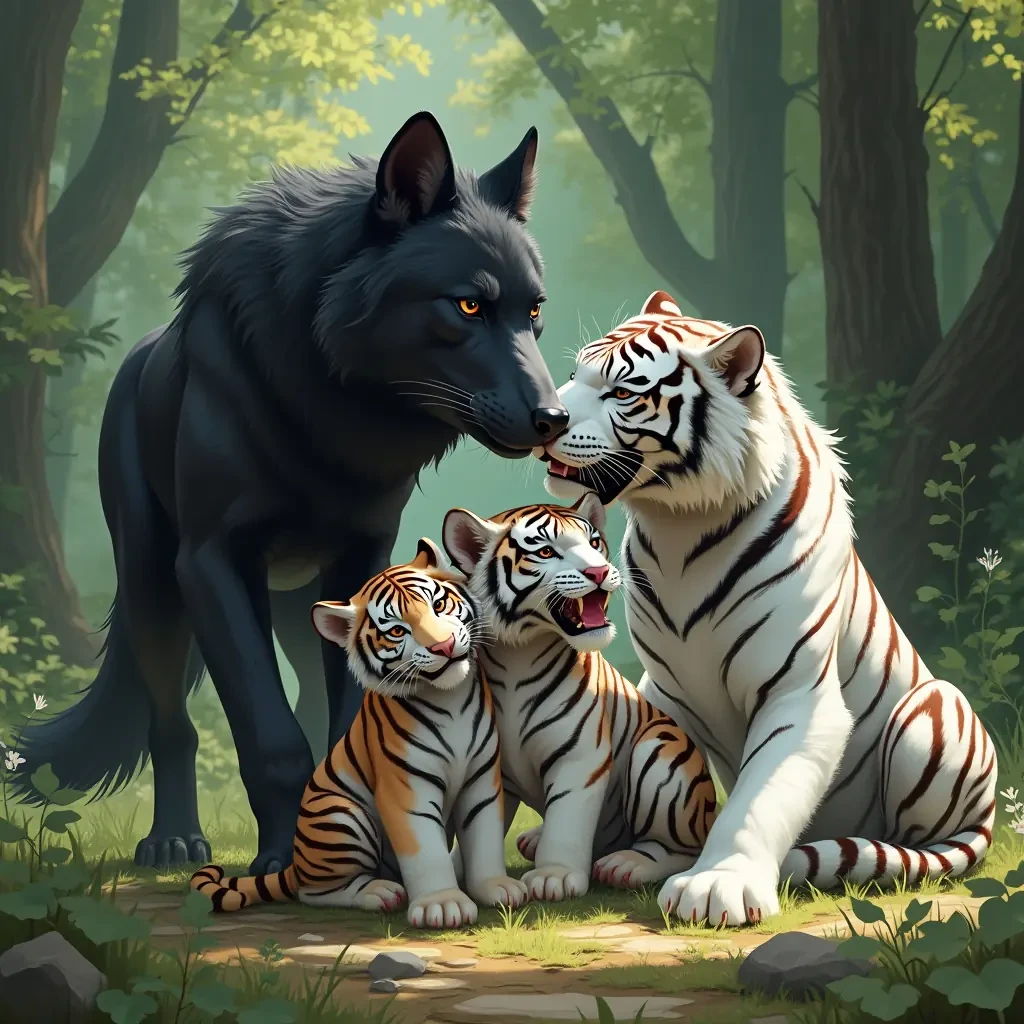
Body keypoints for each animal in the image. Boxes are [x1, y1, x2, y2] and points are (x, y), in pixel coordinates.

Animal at [20, 112, 566, 873]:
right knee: (172, 726)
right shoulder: (212, 563)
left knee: (307, 697)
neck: (329, 410)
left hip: (298, 609)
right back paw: (173, 842)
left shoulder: (363, 560)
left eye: (534, 312)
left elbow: (348, 720)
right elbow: (268, 734)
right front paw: (283, 857)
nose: (555, 418)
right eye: (467, 305)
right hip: (156, 590)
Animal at [190, 541, 527, 929]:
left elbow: (485, 836)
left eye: (439, 605)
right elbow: (426, 850)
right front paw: (442, 904)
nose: (443, 646)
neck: (449, 696)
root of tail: (297, 863)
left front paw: (496, 888)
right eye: (396, 631)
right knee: (316, 892)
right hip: (341, 817)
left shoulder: (482, 779)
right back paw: (378, 893)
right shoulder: (406, 787)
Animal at [442, 493, 717, 902]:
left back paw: (627, 865)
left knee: (681, 849)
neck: (516, 657)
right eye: (545, 551)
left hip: (656, 752)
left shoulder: (580, 755)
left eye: (594, 543)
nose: (600, 572)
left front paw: (553, 876)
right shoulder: (491, 764)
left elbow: (567, 819)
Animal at [539, 288, 997, 927]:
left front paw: (716, 886)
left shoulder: (797, 691)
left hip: (934, 709)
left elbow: (758, 798)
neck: (680, 528)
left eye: (624, 392)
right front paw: (641, 856)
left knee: (931, 844)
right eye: (575, 373)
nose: (544, 419)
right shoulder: (663, 688)